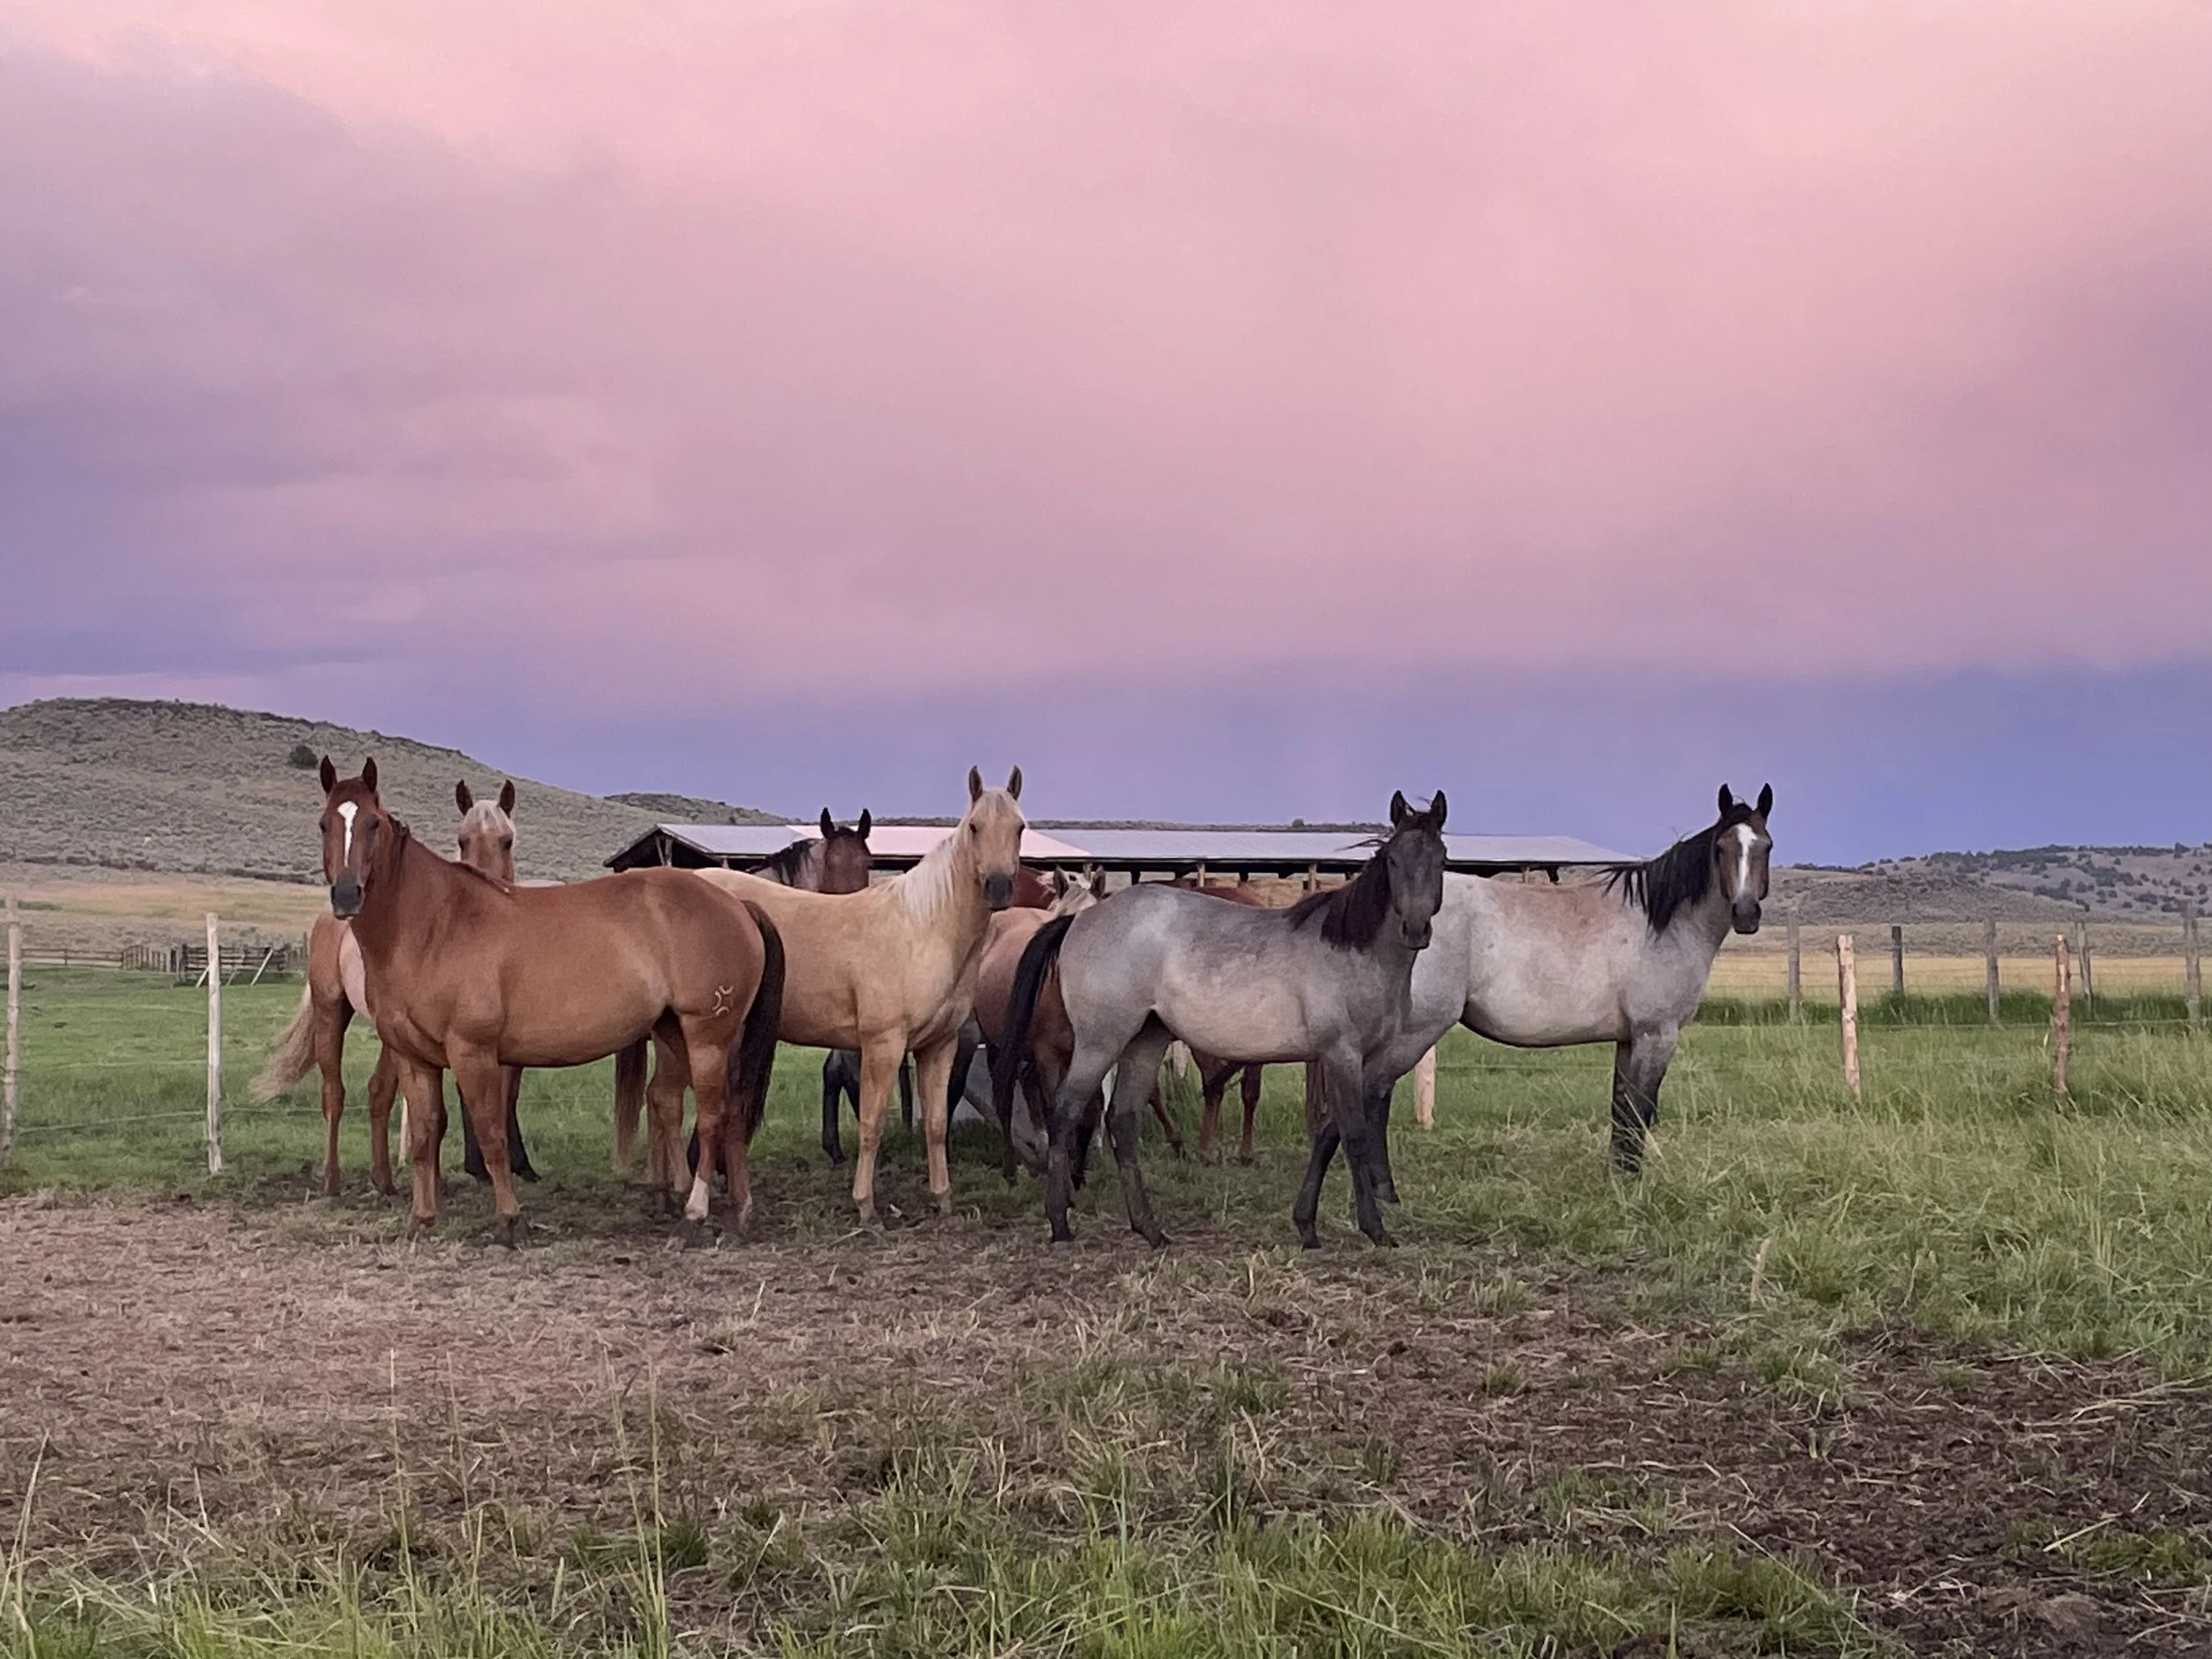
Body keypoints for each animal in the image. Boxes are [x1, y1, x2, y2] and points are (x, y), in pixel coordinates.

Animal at [253, 778, 534, 1196]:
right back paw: (332, 1180)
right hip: (331, 1012)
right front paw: (474, 1170)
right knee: (334, 1094)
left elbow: (493, 1099)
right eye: (462, 840)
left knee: (378, 1092)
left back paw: (383, 1177)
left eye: (507, 840)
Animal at [313, 757, 784, 1239]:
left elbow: (491, 1133)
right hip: (676, 1033)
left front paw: (507, 1218)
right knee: (725, 1110)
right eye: (324, 824)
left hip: (709, 1036)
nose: (347, 895)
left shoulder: (474, 1054)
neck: (437, 926)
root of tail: (737, 904)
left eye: (373, 823)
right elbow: (426, 1133)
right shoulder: (414, 1057)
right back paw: (740, 1206)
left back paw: (696, 1208)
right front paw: (422, 1217)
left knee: (712, 1114)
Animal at [626, 767, 1026, 1225]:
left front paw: (943, 1200)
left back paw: (666, 1191)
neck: (923, 929)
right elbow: (871, 1123)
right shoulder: (883, 1045)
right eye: (975, 827)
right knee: (667, 1100)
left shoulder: (939, 1046)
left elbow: (937, 1125)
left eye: (1019, 828)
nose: (998, 887)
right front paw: (866, 1206)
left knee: (660, 1097)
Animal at [999, 790, 1446, 1249]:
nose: (1415, 929)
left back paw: (1151, 1230)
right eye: (1393, 860)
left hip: (1145, 1042)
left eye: (1441, 858)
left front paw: (1306, 1225)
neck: (1353, 952)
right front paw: (1375, 1229)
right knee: (1065, 1112)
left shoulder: (1364, 1059)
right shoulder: (1342, 1055)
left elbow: (1327, 1135)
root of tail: (1080, 920)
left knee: (1122, 1120)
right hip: (1099, 1044)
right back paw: (1060, 1223)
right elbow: (1353, 1136)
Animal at [1345, 784, 1773, 1202]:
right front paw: (1632, 1189)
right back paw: (1384, 1194)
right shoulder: (1657, 1035)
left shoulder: (1630, 1039)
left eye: (1766, 846)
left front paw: (1619, 1179)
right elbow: (1640, 1110)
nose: (1746, 914)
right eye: (1721, 848)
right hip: (1415, 1031)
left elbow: (1622, 1110)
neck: (1661, 923)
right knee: (1375, 1095)